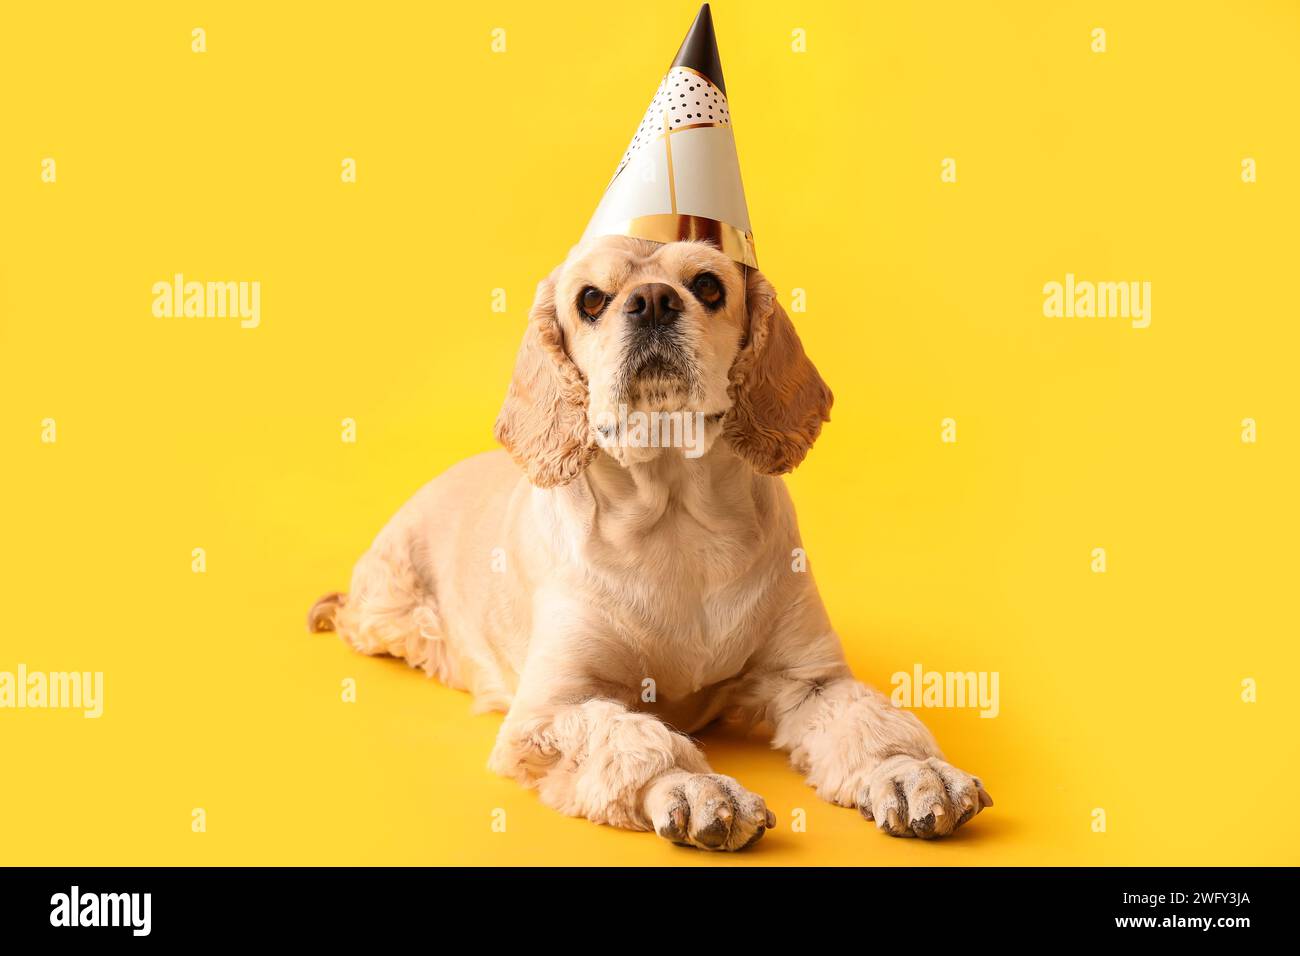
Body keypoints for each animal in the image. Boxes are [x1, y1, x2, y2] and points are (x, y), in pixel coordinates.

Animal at [309, 235, 987, 848]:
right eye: (590, 298)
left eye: (708, 285)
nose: (654, 300)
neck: (675, 518)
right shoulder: (552, 708)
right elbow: (631, 738)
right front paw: (697, 789)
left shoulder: (809, 677)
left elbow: (869, 723)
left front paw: (912, 773)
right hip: (391, 608)